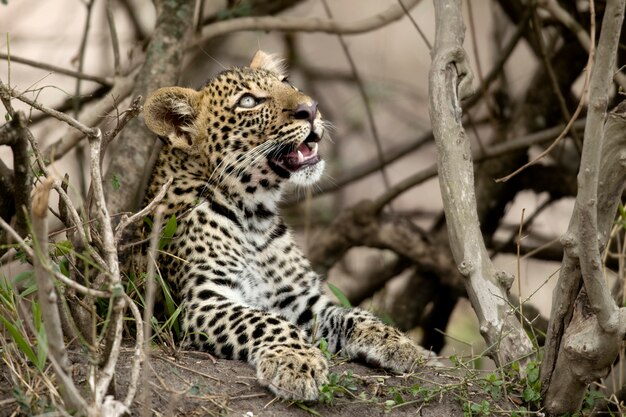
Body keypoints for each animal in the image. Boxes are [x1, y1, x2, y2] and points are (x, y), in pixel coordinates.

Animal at [141, 52, 434, 400]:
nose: (311, 108)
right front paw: (297, 362)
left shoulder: (295, 296)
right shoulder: (201, 300)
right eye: (248, 101)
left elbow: (349, 312)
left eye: (287, 84)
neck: (253, 215)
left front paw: (399, 342)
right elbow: (264, 321)